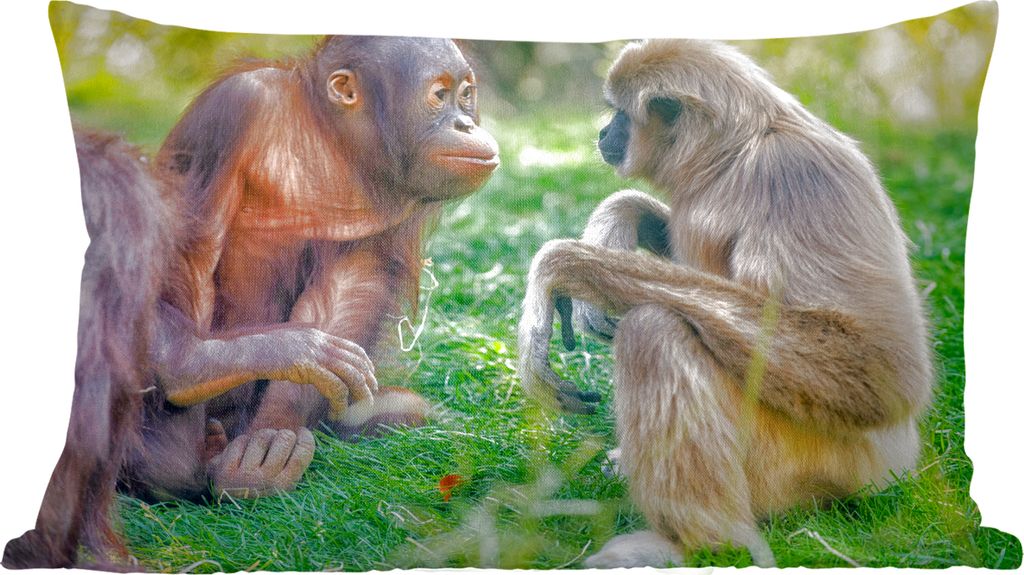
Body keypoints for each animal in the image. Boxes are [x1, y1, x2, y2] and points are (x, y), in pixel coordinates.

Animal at [517, 39, 932, 567]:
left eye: (620, 114)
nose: (604, 131)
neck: (735, 156)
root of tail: (897, 462)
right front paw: (618, 218)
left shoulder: (794, 173)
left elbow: (880, 369)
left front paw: (563, 265)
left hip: (814, 461)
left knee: (654, 329)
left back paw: (704, 543)